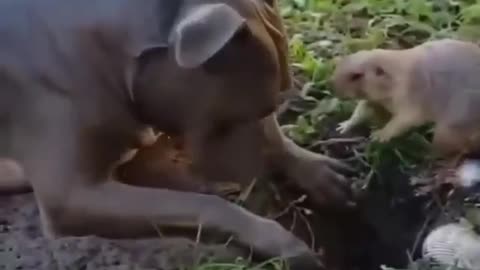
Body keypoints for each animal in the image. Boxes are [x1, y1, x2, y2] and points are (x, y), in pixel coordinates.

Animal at [0, 0, 352, 266]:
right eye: (230, 120)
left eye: (274, 104)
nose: (261, 183)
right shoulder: (72, 196)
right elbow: (206, 204)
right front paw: (279, 241)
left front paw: (311, 168)